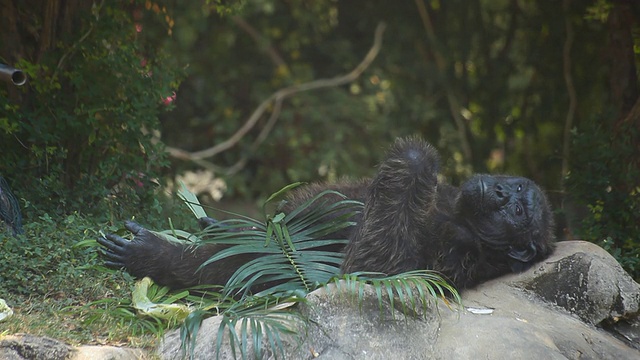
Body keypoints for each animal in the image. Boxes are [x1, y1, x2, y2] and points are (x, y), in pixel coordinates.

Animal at [97, 136, 552, 292]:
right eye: (516, 188)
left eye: (517, 209)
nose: (499, 190)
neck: (460, 216)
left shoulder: (456, 256)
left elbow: (370, 271)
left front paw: (414, 160)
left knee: (245, 265)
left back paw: (154, 255)